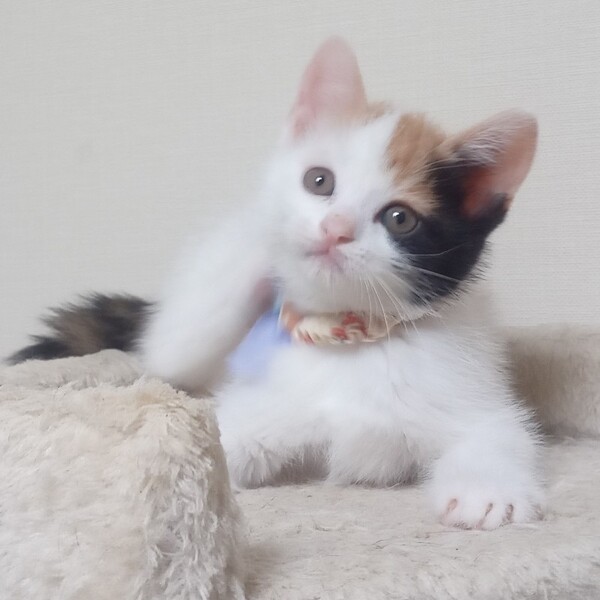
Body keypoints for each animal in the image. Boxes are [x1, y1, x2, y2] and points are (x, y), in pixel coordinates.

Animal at [11, 37, 543, 530]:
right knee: (174, 341)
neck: (345, 334)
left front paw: (485, 492)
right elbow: (217, 441)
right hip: (192, 333)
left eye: (400, 218)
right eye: (319, 181)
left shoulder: (469, 394)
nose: (334, 229)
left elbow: (498, 431)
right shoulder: (251, 406)